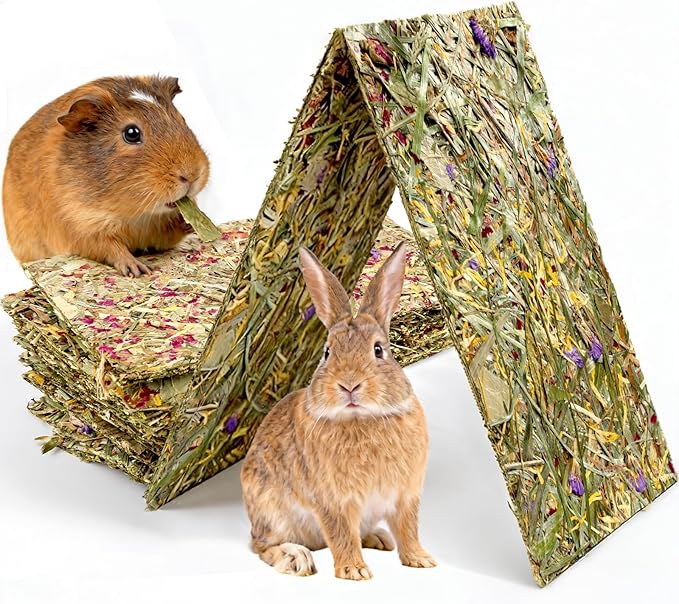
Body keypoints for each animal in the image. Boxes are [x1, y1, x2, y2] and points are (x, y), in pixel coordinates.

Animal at [2, 75, 209, 277]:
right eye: (131, 133)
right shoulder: (82, 226)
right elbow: (110, 247)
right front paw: (137, 270)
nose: (192, 175)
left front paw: (192, 222)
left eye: (182, 119)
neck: (136, 216)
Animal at [241, 242, 436, 580]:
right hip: (271, 512)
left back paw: (378, 538)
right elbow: (341, 534)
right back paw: (296, 559)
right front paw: (355, 572)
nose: (349, 385)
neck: (363, 418)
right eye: (327, 352)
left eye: (378, 350)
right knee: (263, 546)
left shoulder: (405, 496)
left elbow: (408, 530)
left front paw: (421, 560)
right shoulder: (333, 501)